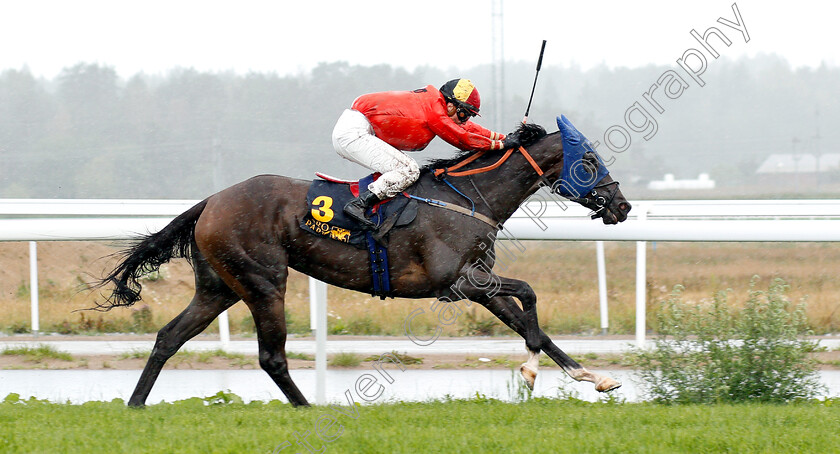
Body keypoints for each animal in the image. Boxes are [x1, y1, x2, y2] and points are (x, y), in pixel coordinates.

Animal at [95, 119, 632, 406]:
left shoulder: (476, 280)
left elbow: (529, 323)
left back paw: (136, 405)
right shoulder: (458, 282)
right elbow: (529, 298)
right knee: (271, 356)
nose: (622, 206)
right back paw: (308, 409)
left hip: (220, 286)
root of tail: (211, 200)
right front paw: (533, 370)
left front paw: (590, 376)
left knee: (169, 337)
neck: (470, 197)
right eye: (591, 162)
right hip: (263, 281)